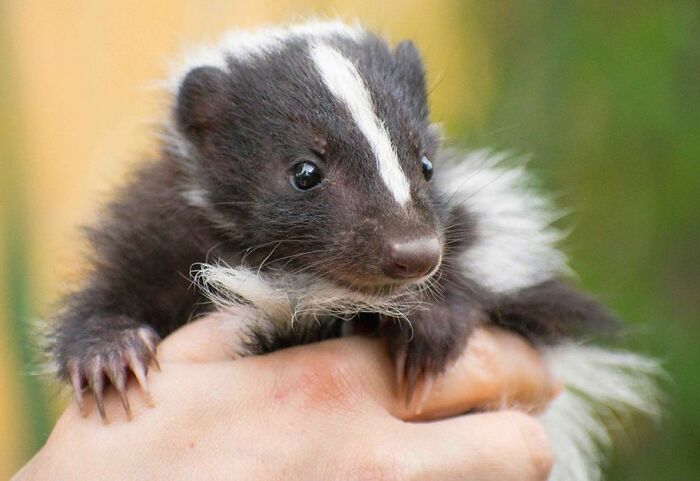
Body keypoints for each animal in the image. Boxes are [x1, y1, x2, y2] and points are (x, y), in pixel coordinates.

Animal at [49, 20, 616, 416]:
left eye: (426, 165)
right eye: (305, 172)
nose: (414, 254)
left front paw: (431, 325)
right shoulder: (163, 223)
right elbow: (115, 284)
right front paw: (108, 354)